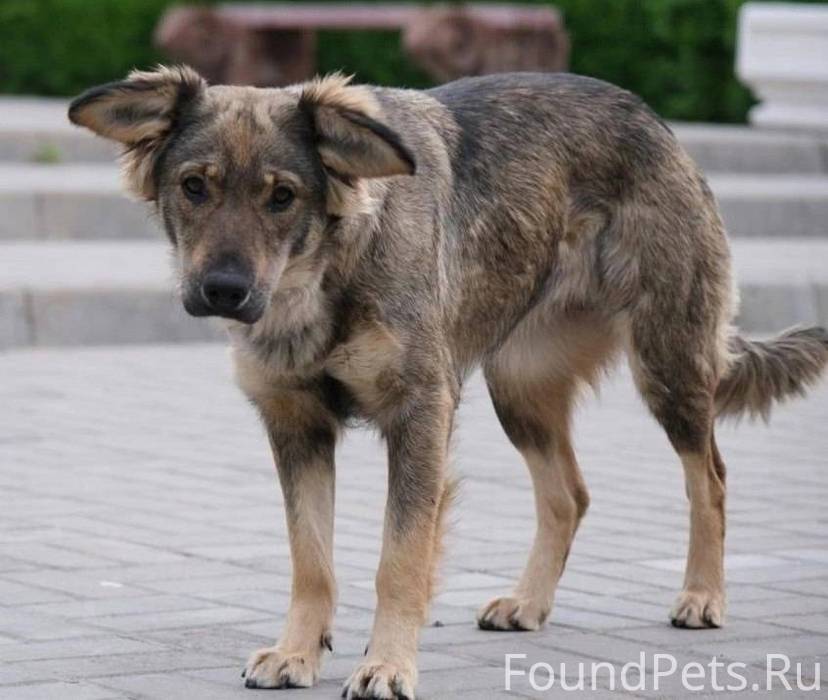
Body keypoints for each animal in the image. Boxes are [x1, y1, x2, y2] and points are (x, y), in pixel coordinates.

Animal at [69, 66, 827, 699]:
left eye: (282, 197)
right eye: (194, 187)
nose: (222, 291)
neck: (327, 276)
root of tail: (649, 116)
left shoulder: (420, 416)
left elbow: (399, 560)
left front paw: (387, 664)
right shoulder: (298, 428)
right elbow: (311, 560)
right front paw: (298, 652)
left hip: (665, 365)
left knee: (710, 479)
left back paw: (703, 596)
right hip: (518, 390)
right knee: (569, 495)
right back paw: (530, 603)